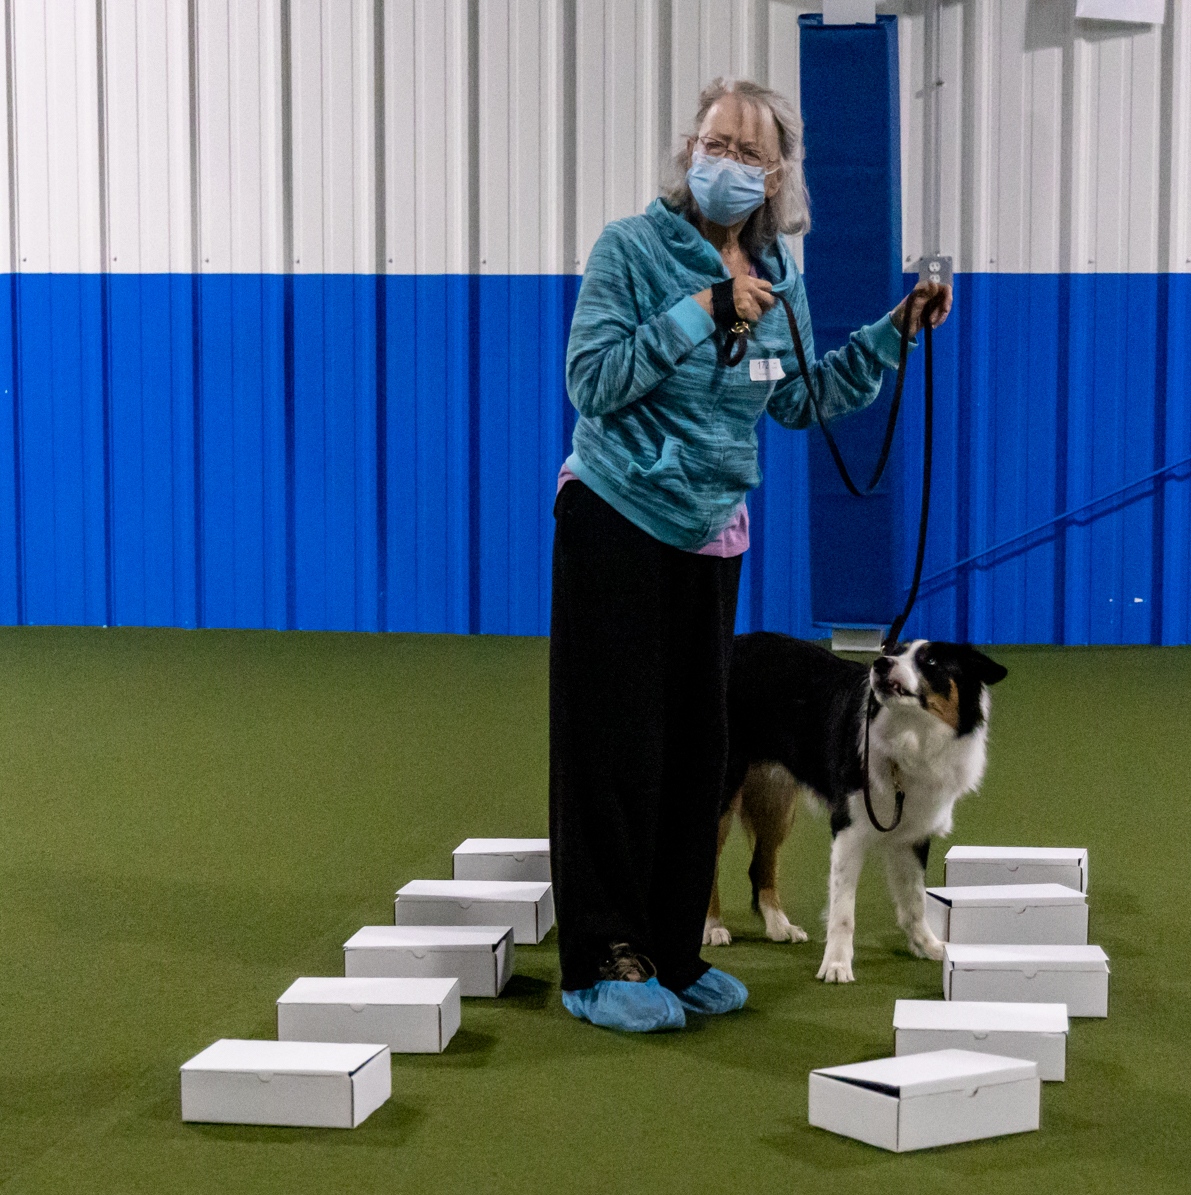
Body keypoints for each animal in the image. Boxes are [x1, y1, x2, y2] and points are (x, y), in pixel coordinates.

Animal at [703, 632, 1008, 982]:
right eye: (895, 652)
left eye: (930, 661)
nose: (881, 663)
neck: (911, 735)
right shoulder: (849, 826)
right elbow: (843, 910)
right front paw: (836, 965)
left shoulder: (912, 832)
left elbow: (915, 900)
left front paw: (927, 946)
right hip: (726, 786)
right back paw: (712, 927)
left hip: (775, 795)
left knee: (761, 863)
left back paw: (780, 925)